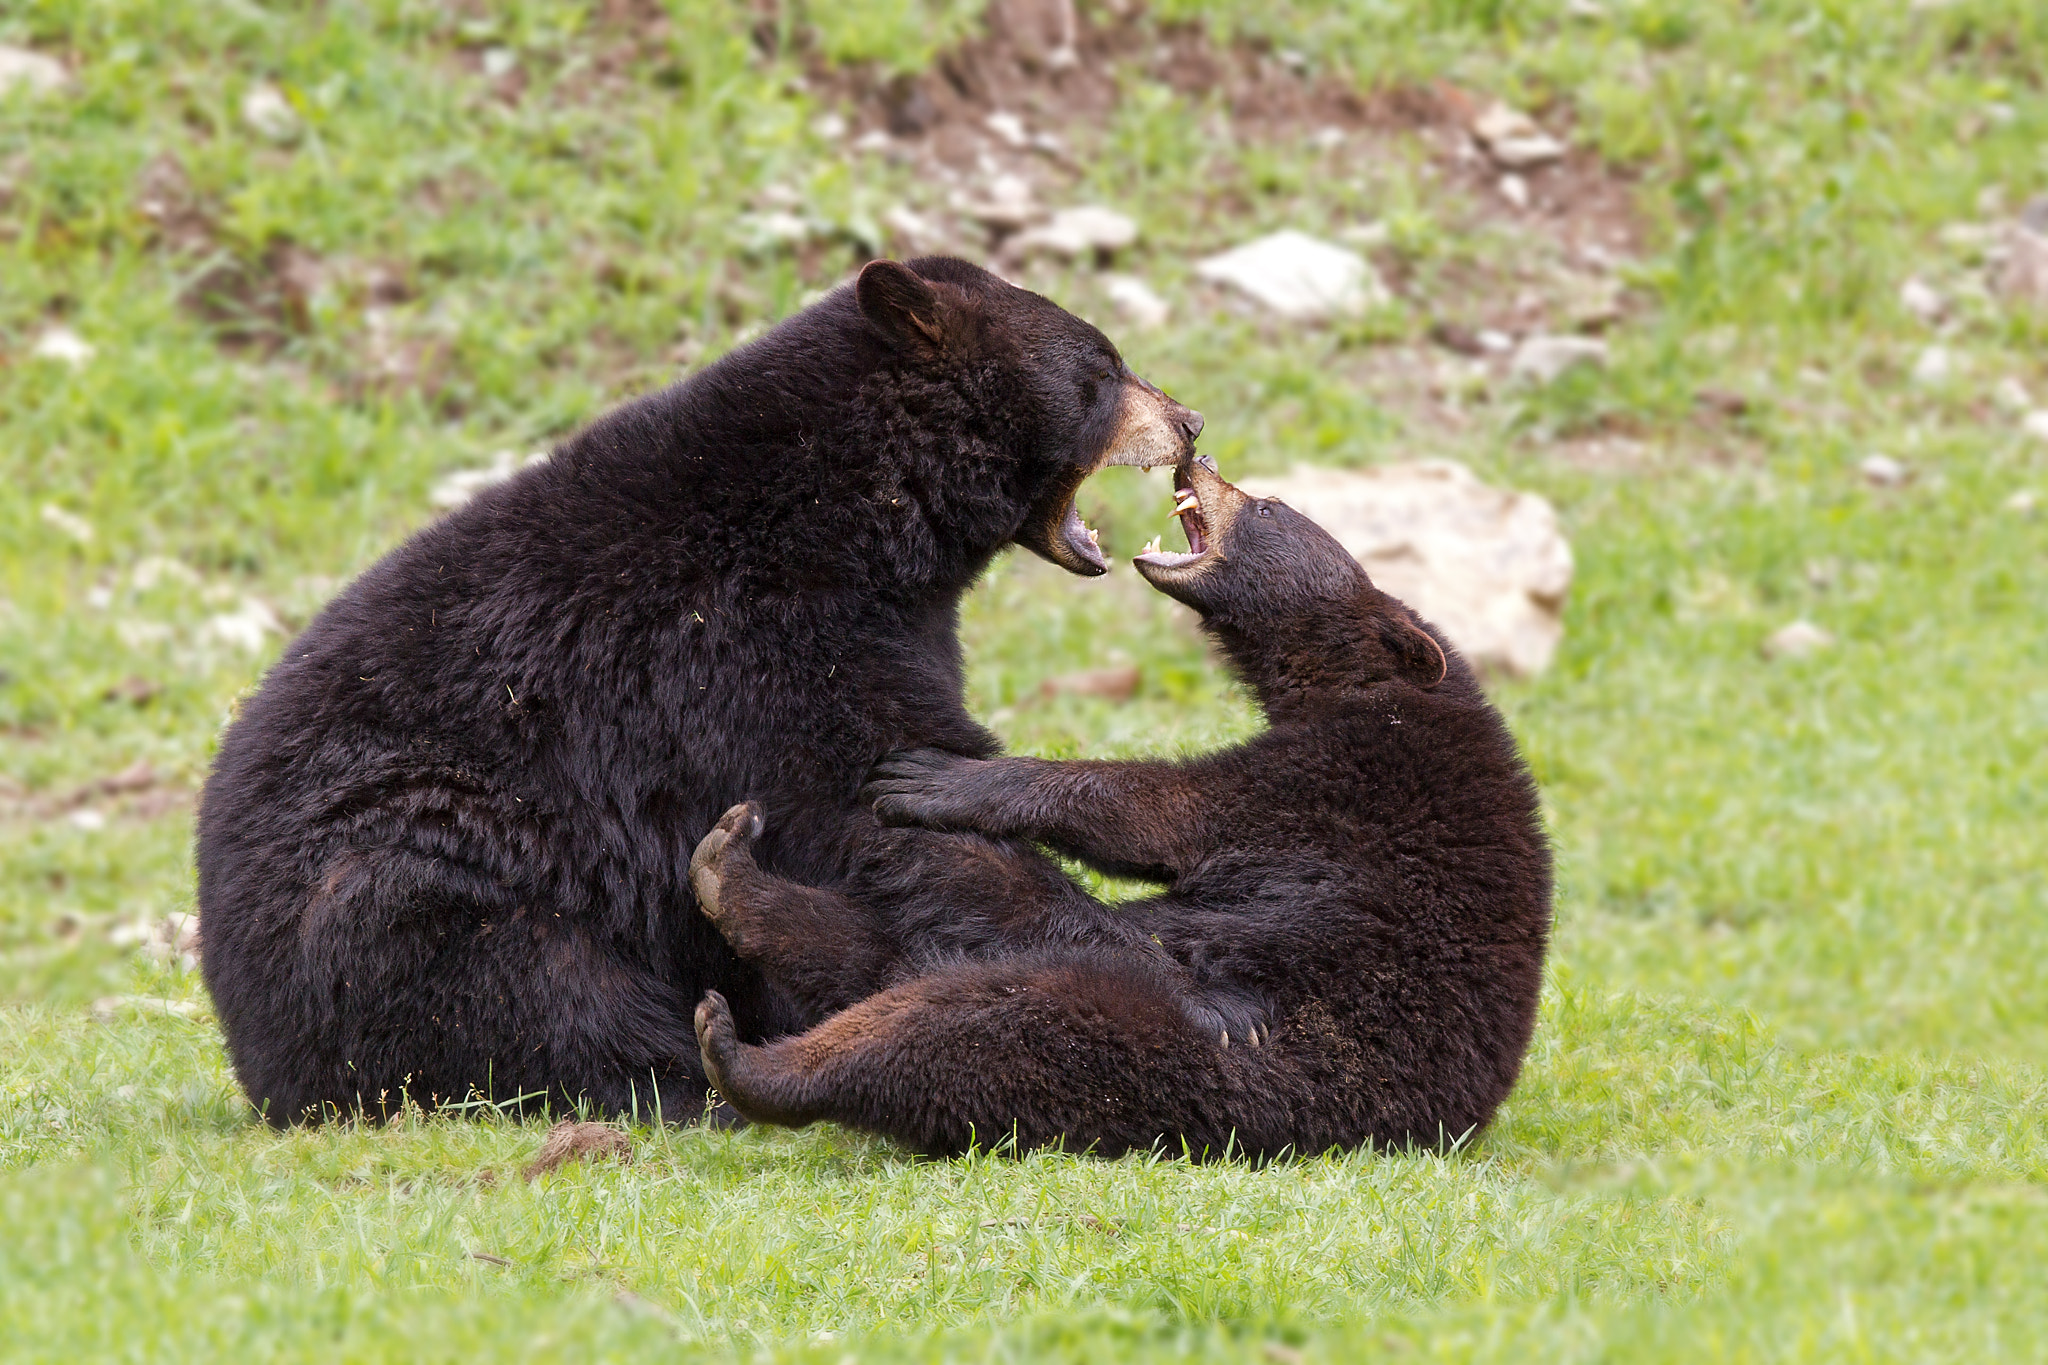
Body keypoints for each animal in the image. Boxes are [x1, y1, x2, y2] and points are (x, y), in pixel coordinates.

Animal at [195, 255, 1196, 1121]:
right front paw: (1120, 948)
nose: (1187, 420)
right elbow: (874, 797)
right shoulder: (751, 642)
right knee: (523, 972)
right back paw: (685, 1078)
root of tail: (255, 1055)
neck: (855, 511)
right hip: (422, 875)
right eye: (1104, 367)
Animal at [688, 456, 1548, 1154]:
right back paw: (733, 878)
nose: (1200, 460)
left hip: (1188, 1052)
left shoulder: (1347, 780)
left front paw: (941, 776)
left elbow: (1162, 809)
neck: (1363, 682)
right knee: (892, 952)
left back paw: (751, 1058)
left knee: (968, 1020)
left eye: (1270, 506)